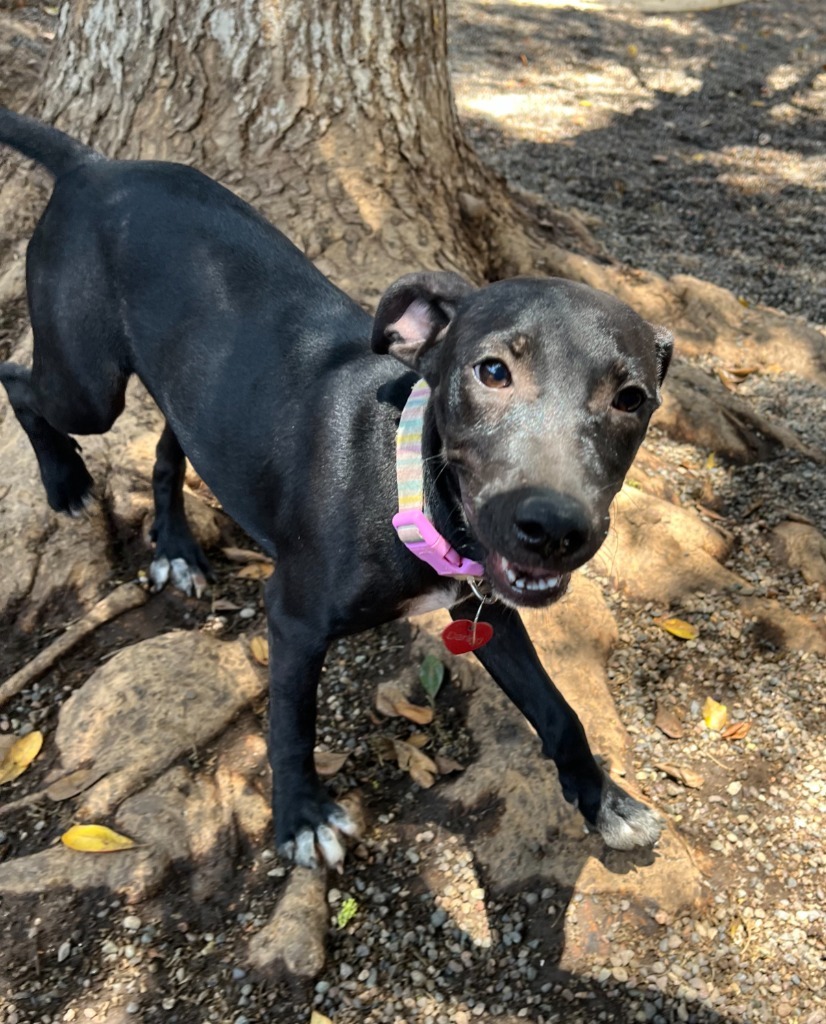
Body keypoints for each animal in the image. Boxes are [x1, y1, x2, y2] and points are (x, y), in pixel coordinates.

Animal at [0, 110, 671, 864]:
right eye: (492, 371)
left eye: (632, 399)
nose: (554, 529)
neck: (402, 487)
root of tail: (95, 165)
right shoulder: (294, 619)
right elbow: (291, 724)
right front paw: (301, 816)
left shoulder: (487, 608)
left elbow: (558, 710)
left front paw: (604, 800)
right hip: (87, 384)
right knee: (17, 381)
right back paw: (65, 481)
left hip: (191, 386)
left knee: (169, 447)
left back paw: (174, 547)